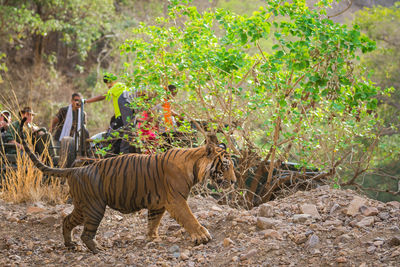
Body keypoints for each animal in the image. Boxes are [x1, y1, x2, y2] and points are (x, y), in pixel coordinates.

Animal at [18, 119, 236, 253]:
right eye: (226, 165)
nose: (234, 181)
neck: (194, 164)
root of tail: (74, 170)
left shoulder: (158, 204)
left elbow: (153, 221)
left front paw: (152, 238)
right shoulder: (176, 200)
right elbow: (190, 218)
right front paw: (203, 236)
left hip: (81, 206)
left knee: (67, 221)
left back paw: (70, 244)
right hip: (95, 207)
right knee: (86, 233)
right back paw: (97, 249)